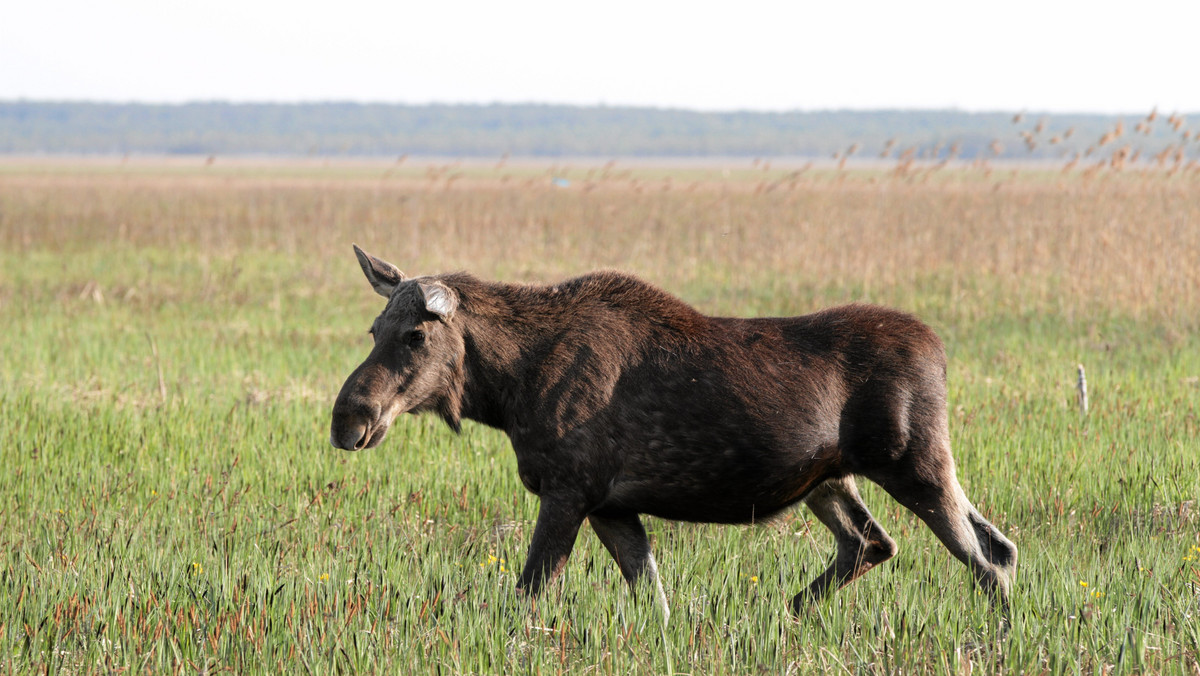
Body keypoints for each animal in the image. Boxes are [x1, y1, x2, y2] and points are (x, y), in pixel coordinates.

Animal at [333, 247, 1017, 619]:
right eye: (372, 330)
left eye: (414, 335)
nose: (348, 420)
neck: (505, 392)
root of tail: (941, 352)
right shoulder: (609, 505)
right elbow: (652, 599)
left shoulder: (568, 491)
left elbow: (528, 595)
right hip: (829, 479)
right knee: (879, 542)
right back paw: (786, 613)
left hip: (915, 465)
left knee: (988, 560)